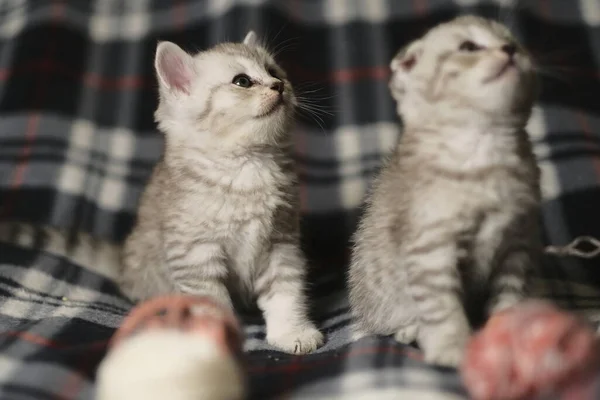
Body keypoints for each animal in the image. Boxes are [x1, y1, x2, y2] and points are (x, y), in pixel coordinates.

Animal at [118, 32, 324, 354]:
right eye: (242, 81)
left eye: (274, 72)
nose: (278, 86)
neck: (246, 166)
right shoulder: (196, 253)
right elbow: (212, 302)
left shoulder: (281, 244)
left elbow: (286, 293)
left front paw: (293, 332)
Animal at [346, 15, 540, 368]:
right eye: (469, 47)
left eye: (514, 42)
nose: (509, 50)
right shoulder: (431, 249)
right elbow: (442, 307)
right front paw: (453, 347)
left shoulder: (518, 245)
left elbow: (510, 295)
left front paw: (509, 333)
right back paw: (410, 330)